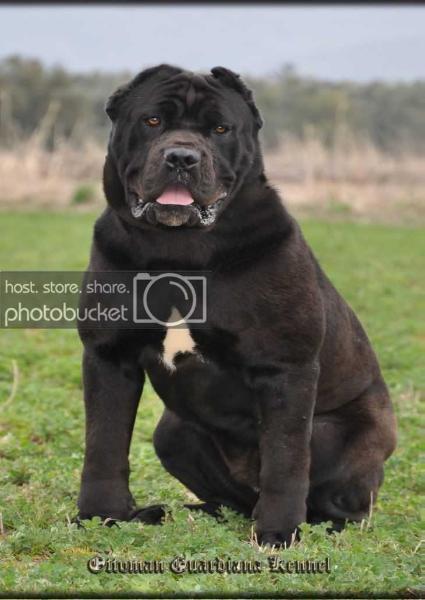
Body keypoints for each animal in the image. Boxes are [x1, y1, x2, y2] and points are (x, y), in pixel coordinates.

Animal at [77, 65, 398, 548]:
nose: (182, 157)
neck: (177, 249)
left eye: (220, 129)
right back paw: (180, 512)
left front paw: (278, 534)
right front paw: (101, 515)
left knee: (337, 499)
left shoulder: (284, 368)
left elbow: (286, 459)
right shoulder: (109, 354)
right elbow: (104, 443)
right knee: (231, 497)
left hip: (341, 436)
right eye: (152, 121)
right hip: (172, 431)